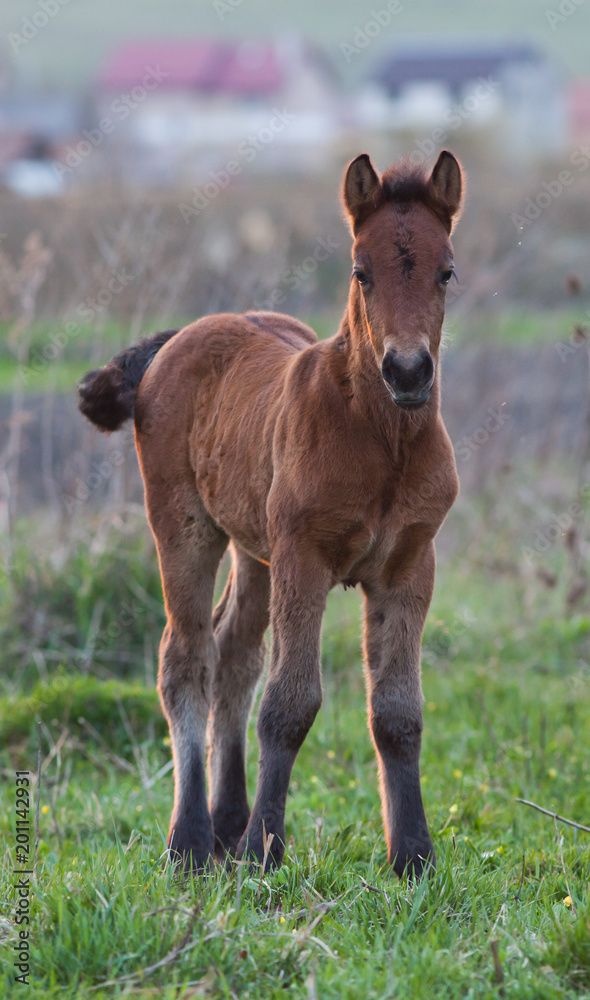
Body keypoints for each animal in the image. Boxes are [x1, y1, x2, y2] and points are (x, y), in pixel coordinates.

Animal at [78, 149, 463, 879]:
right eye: (360, 272)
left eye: (447, 270)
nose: (407, 371)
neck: (382, 442)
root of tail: (179, 338)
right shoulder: (303, 557)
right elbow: (290, 702)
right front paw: (265, 849)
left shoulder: (411, 563)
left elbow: (398, 711)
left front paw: (413, 856)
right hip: (186, 526)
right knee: (187, 658)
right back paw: (191, 840)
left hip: (253, 546)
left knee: (234, 655)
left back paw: (227, 825)